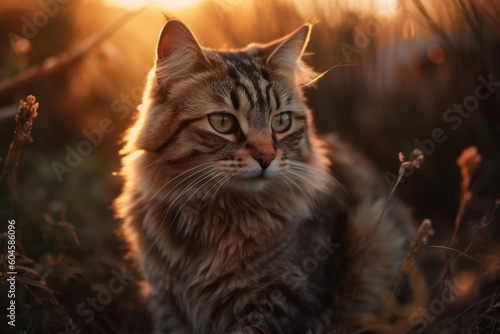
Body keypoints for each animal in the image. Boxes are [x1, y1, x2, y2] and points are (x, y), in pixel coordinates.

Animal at [115, 18, 416, 334]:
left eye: (281, 122)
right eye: (222, 122)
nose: (266, 158)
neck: (212, 219)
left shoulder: (281, 300)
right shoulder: (166, 300)